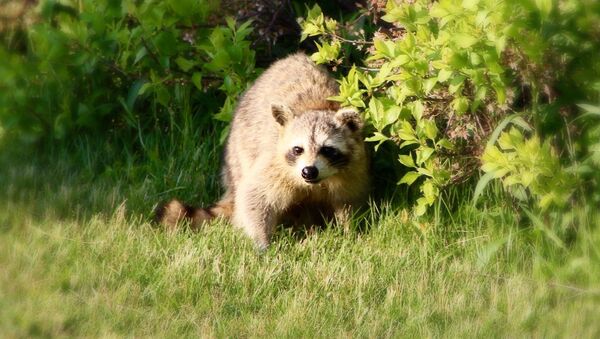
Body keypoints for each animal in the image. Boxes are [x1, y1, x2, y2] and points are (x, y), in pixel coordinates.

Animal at [155, 53, 370, 250]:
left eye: (327, 149)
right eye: (298, 149)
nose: (308, 171)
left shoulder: (354, 170)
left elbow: (348, 202)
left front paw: (351, 231)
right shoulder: (275, 163)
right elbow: (256, 196)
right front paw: (261, 243)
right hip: (238, 151)